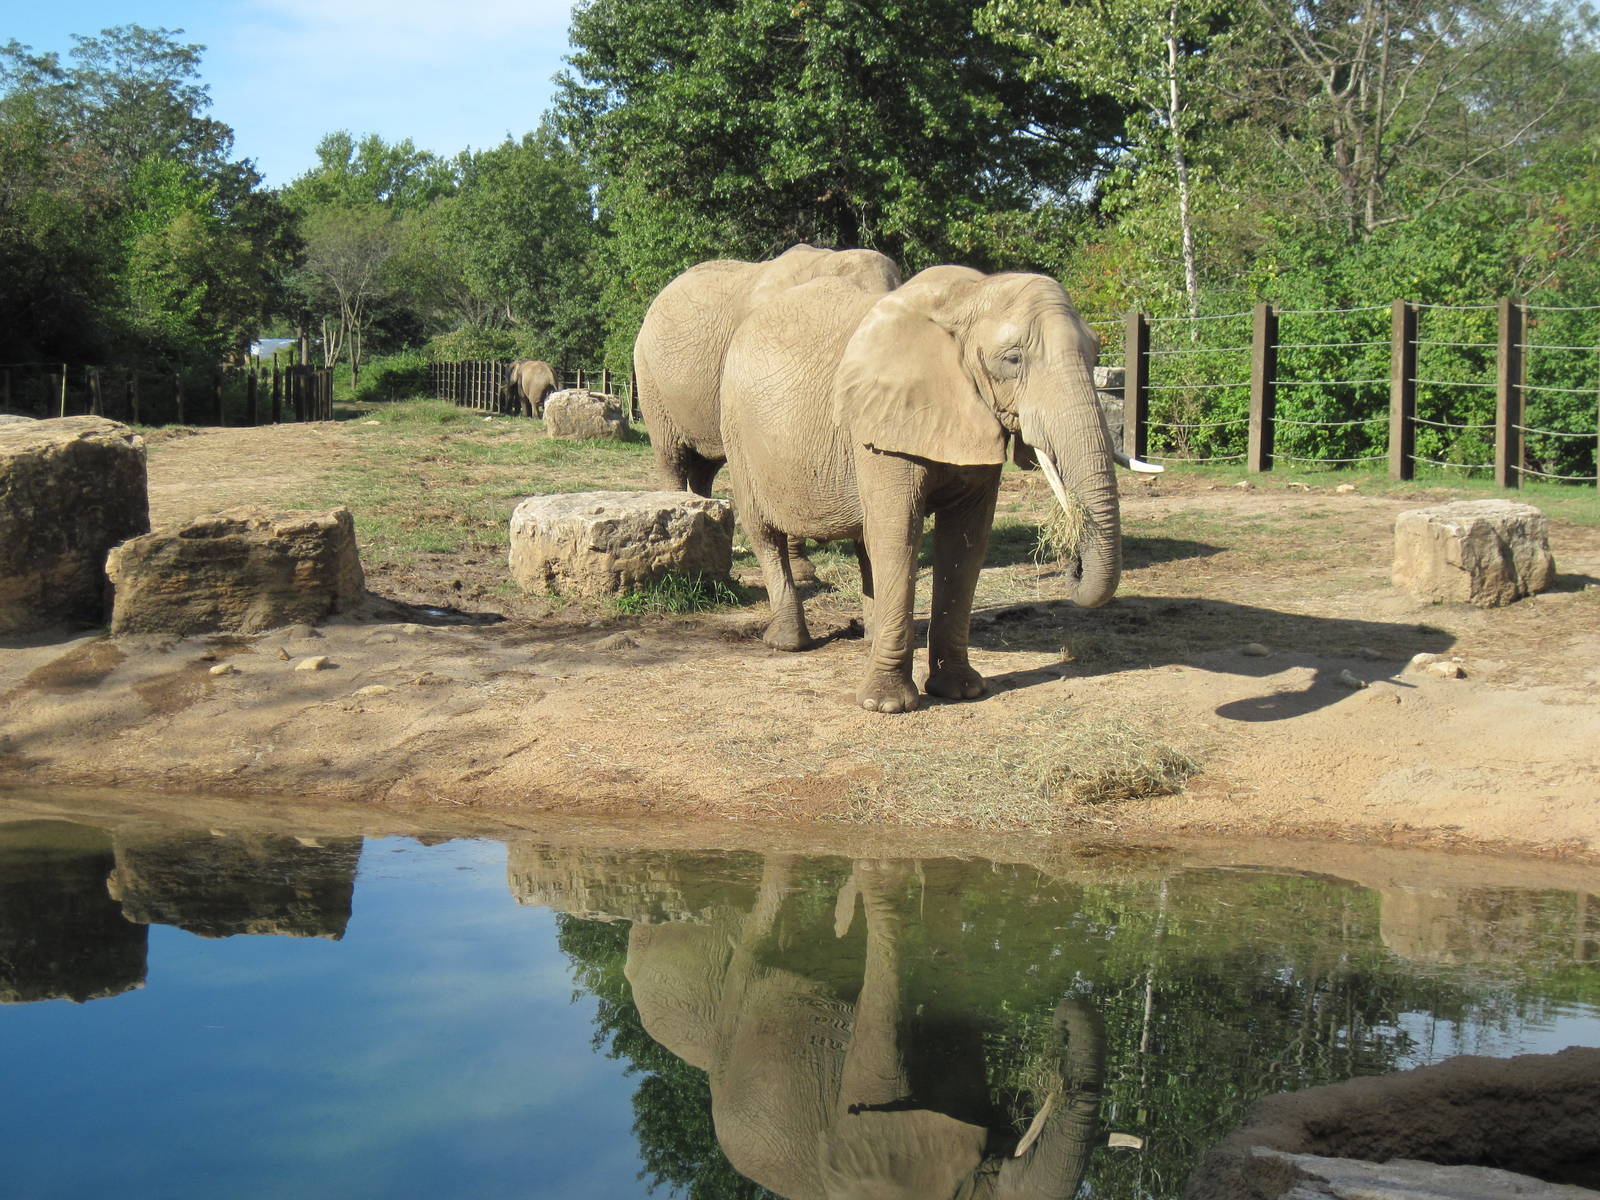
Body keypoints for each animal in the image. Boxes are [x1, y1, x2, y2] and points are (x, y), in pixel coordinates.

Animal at [720, 265, 1159, 713]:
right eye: (1012, 359)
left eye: (1095, 354)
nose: (1073, 565)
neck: (968, 298)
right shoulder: (884, 422)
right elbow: (899, 534)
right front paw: (886, 706)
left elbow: (965, 542)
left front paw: (962, 691)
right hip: (737, 432)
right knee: (766, 533)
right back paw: (788, 644)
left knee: (866, 540)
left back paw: (869, 639)